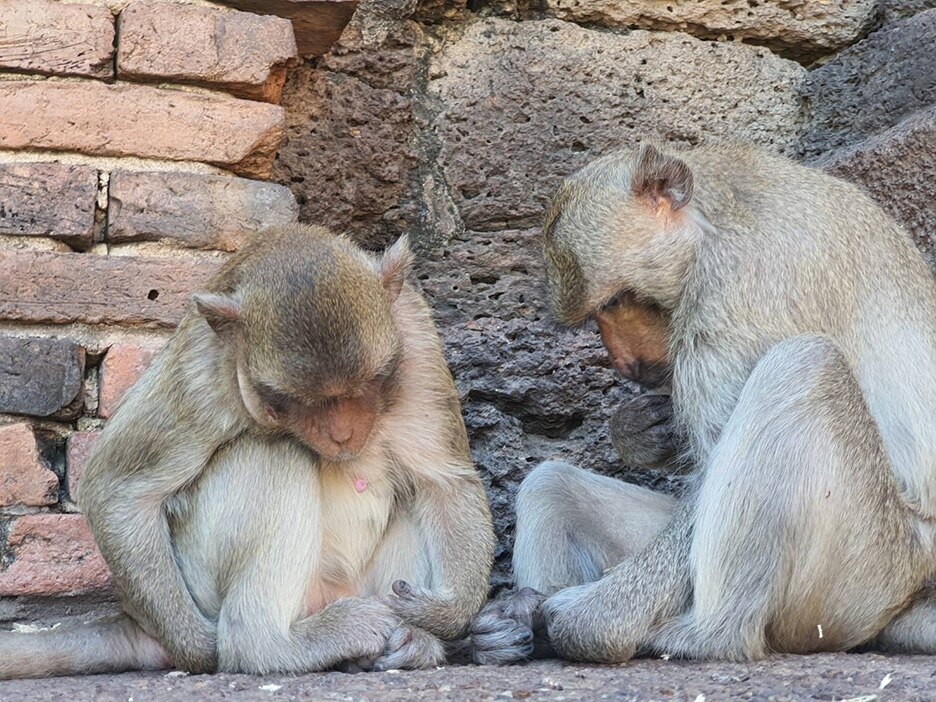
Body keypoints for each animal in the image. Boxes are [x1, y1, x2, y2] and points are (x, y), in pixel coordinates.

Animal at [0, 227, 494, 680]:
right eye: (293, 400)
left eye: (371, 382)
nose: (342, 434)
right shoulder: (202, 372)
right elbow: (116, 488)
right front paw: (198, 649)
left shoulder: (415, 334)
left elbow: (443, 482)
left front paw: (440, 614)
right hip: (202, 582)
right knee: (273, 451)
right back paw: (273, 645)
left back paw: (409, 643)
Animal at [472, 142, 936, 664]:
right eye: (598, 314)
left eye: (615, 301)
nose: (624, 363)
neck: (716, 215)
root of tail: (910, 596)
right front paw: (641, 431)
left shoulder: (742, 284)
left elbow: (711, 466)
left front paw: (591, 624)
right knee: (549, 484)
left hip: (863, 576)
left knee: (802, 365)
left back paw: (710, 634)